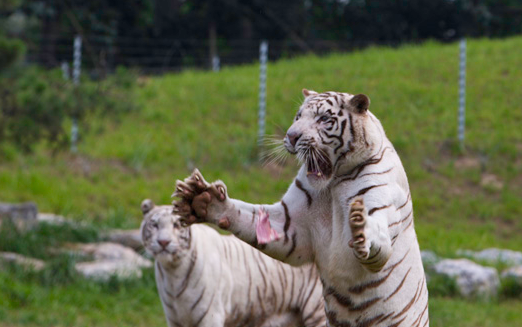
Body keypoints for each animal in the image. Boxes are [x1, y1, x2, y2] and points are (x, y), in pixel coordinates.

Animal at [139, 199, 324, 327]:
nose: (163, 242)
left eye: (177, 225)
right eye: (154, 225)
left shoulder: (210, 317)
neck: (172, 272)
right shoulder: (174, 319)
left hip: (317, 312)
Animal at [174, 89, 426, 327]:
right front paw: (204, 200)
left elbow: (377, 239)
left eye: (324, 119)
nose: (291, 136)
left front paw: (360, 229)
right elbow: (248, 216)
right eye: (298, 116)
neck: (333, 184)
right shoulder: (290, 227)